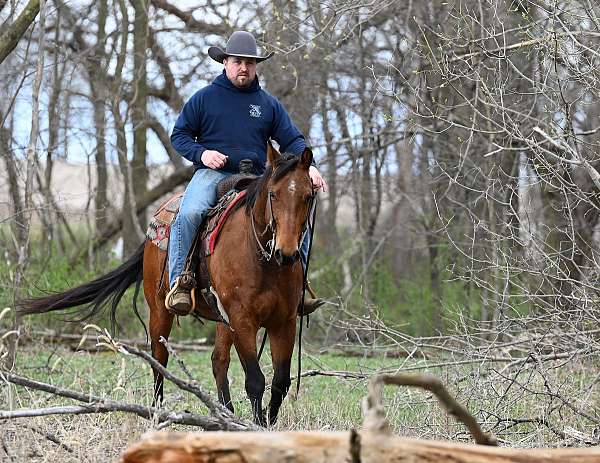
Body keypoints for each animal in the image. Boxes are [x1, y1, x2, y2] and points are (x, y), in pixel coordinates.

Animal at [17, 145, 316, 428]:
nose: (287, 253)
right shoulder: (242, 320)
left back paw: (225, 415)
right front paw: (256, 426)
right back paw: (159, 413)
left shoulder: (283, 321)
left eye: (308, 196)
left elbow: (280, 381)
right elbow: (255, 379)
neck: (262, 260)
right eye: (273, 195)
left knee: (218, 361)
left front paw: (266, 422)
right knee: (159, 361)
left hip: (222, 319)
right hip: (160, 310)